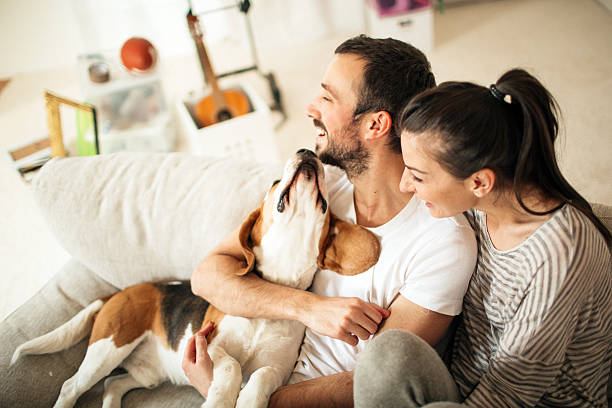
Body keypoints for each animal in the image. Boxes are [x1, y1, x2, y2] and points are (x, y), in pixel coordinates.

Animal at [10, 148, 378, 406]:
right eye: (274, 183)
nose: (307, 151)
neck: (274, 292)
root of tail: (121, 292)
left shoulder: (278, 369)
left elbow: (260, 377)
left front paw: (249, 401)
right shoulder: (208, 344)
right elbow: (231, 368)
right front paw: (220, 399)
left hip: (146, 373)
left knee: (112, 384)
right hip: (109, 347)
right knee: (71, 386)